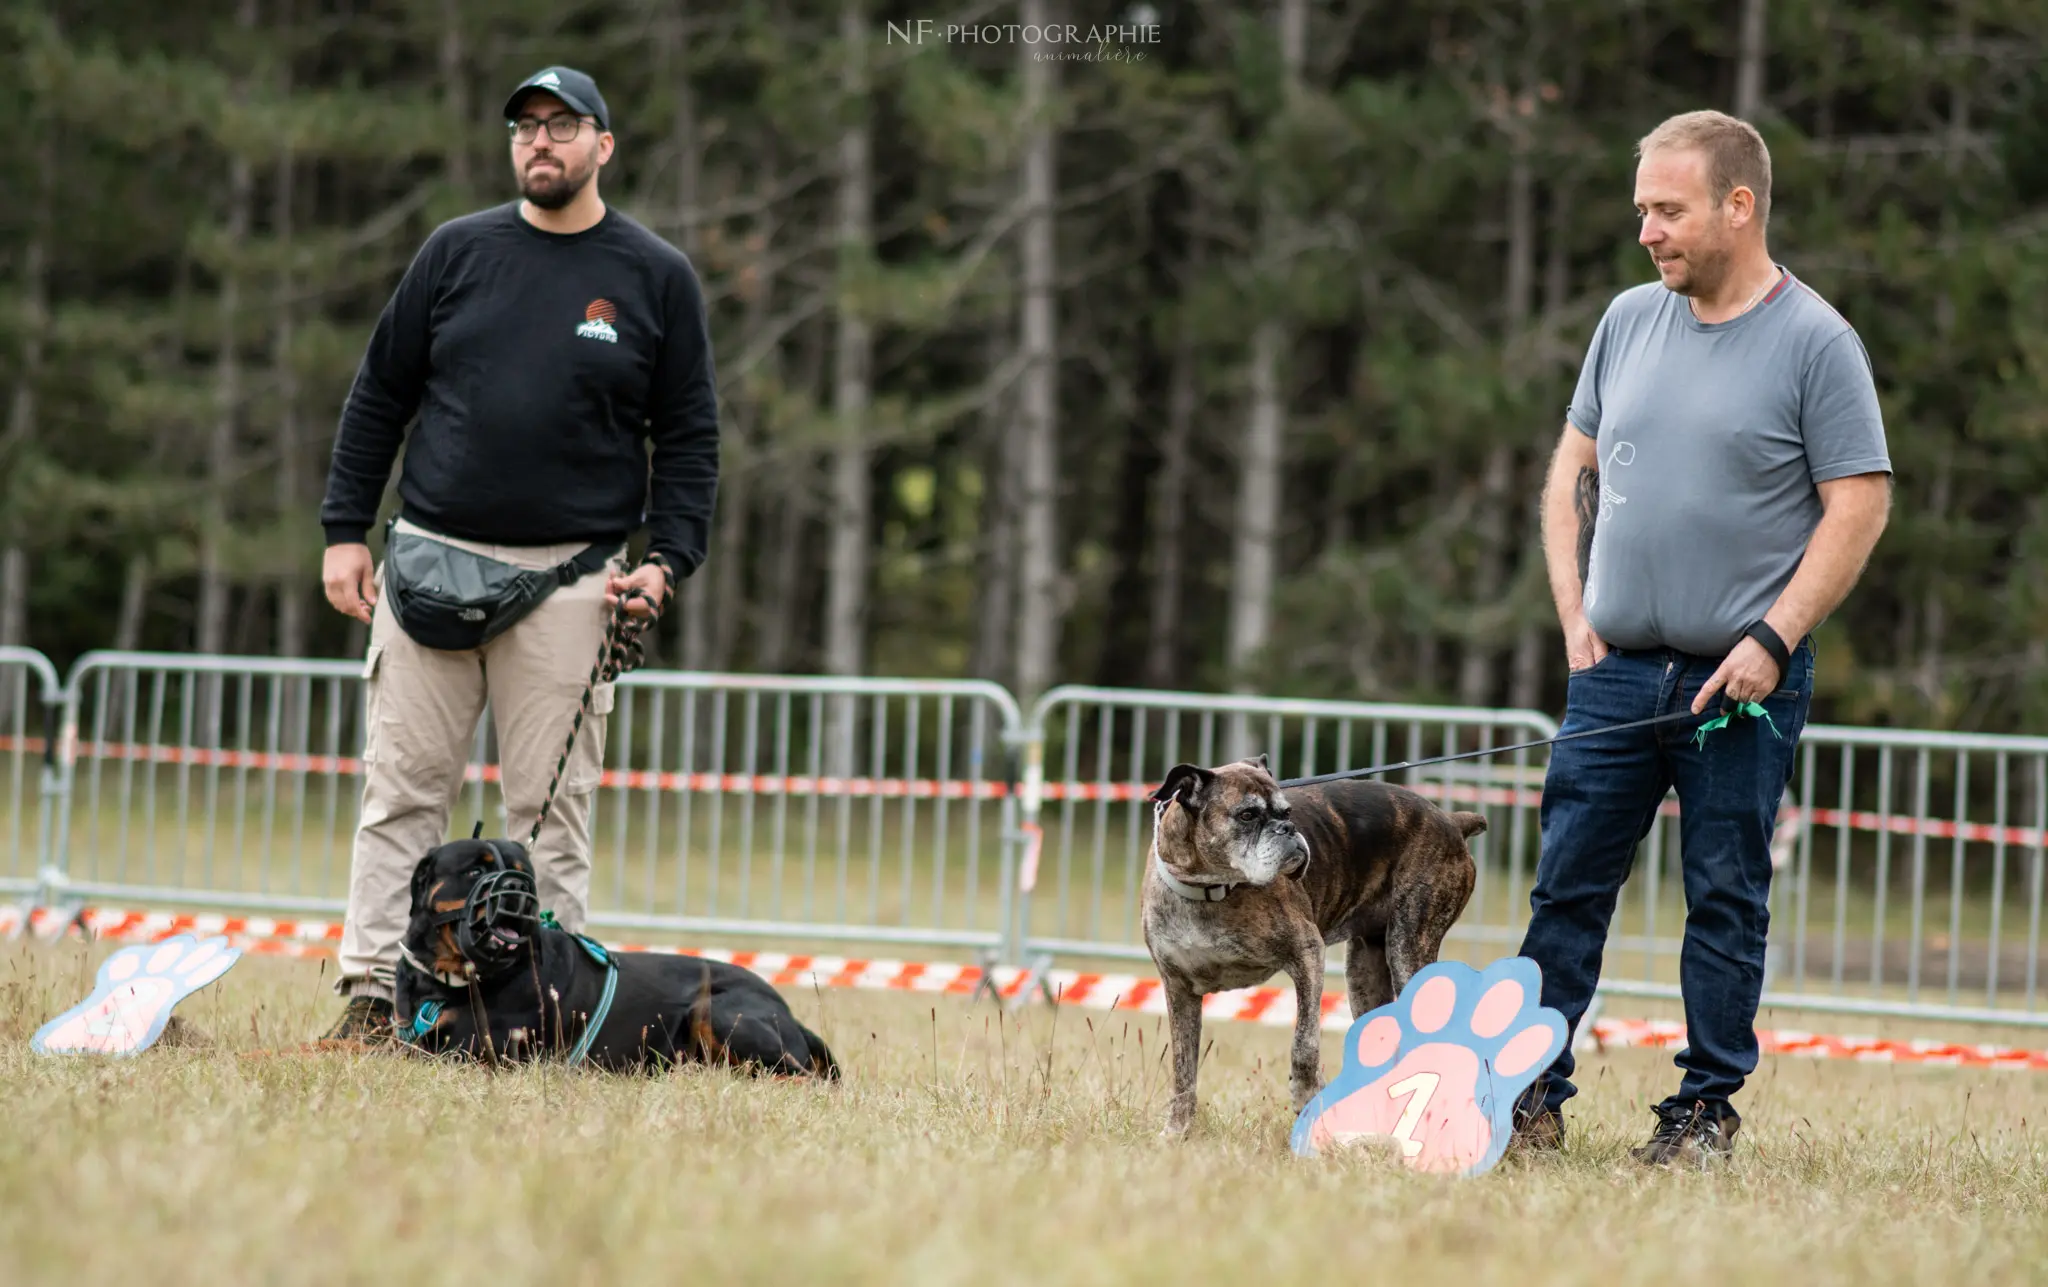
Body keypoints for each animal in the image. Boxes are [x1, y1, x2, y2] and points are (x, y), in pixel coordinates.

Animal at [1138, 754, 1490, 1139]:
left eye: (1287, 812)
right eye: (1247, 815)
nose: (1288, 830)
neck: (1208, 890)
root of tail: (1451, 821)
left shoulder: (1307, 954)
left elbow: (1304, 1045)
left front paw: (1306, 1098)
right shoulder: (1179, 990)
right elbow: (1183, 1067)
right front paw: (1177, 1131)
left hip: (1408, 950)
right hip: (1364, 976)